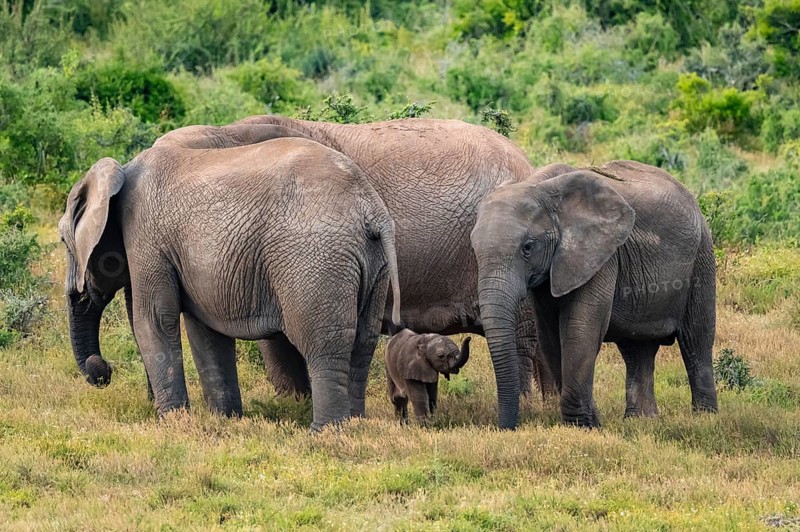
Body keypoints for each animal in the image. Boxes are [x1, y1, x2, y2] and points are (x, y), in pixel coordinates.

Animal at [60, 131, 401, 430]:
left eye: (64, 241)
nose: (103, 370)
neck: (120, 173)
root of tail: (371, 210)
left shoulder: (146, 237)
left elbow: (153, 320)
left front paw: (172, 423)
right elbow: (204, 330)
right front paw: (224, 420)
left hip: (314, 258)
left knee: (323, 342)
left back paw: (325, 432)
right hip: (373, 263)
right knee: (363, 341)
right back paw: (355, 425)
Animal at [470, 161, 718, 428]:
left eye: (528, 247)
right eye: (474, 248)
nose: (507, 427)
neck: (540, 186)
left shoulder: (600, 256)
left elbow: (580, 328)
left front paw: (585, 425)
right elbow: (549, 334)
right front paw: (589, 422)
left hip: (702, 257)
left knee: (696, 341)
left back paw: (705, 418)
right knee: (637, 349)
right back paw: (641, 421)